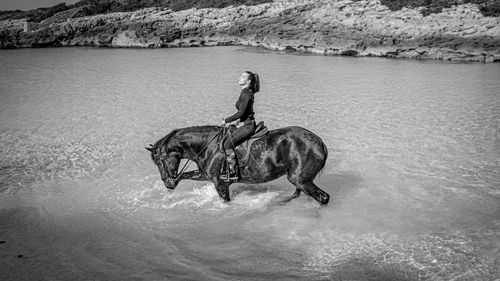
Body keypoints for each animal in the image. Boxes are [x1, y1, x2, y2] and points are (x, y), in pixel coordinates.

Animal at [146, 124, 332, 203]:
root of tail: (320, 143)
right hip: (301, 180)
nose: (168, 184)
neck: (207, 145)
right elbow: (185, 174)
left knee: (323, 198)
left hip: (299, 179)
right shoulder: (204, 175)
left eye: (160, 161)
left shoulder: (220, 183)